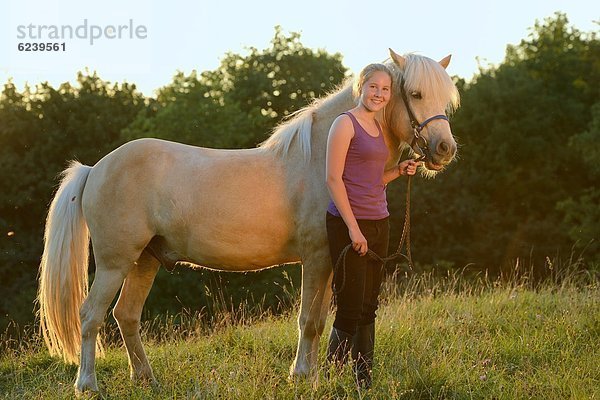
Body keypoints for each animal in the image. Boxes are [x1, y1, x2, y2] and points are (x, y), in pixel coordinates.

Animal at [37, 49, 460, 394]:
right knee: (91, 315)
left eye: (446, 99)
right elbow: (309, 320)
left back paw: (147, 380)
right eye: (415, 94)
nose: (444, 149)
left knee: (126, 316)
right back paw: (87, 384)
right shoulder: (318, 257)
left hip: (145, 260)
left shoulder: (329, 262)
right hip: (116, 262)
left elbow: (321, 320)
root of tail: (95, 168)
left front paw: (312, 377)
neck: (320, 158)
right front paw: (302, 377)